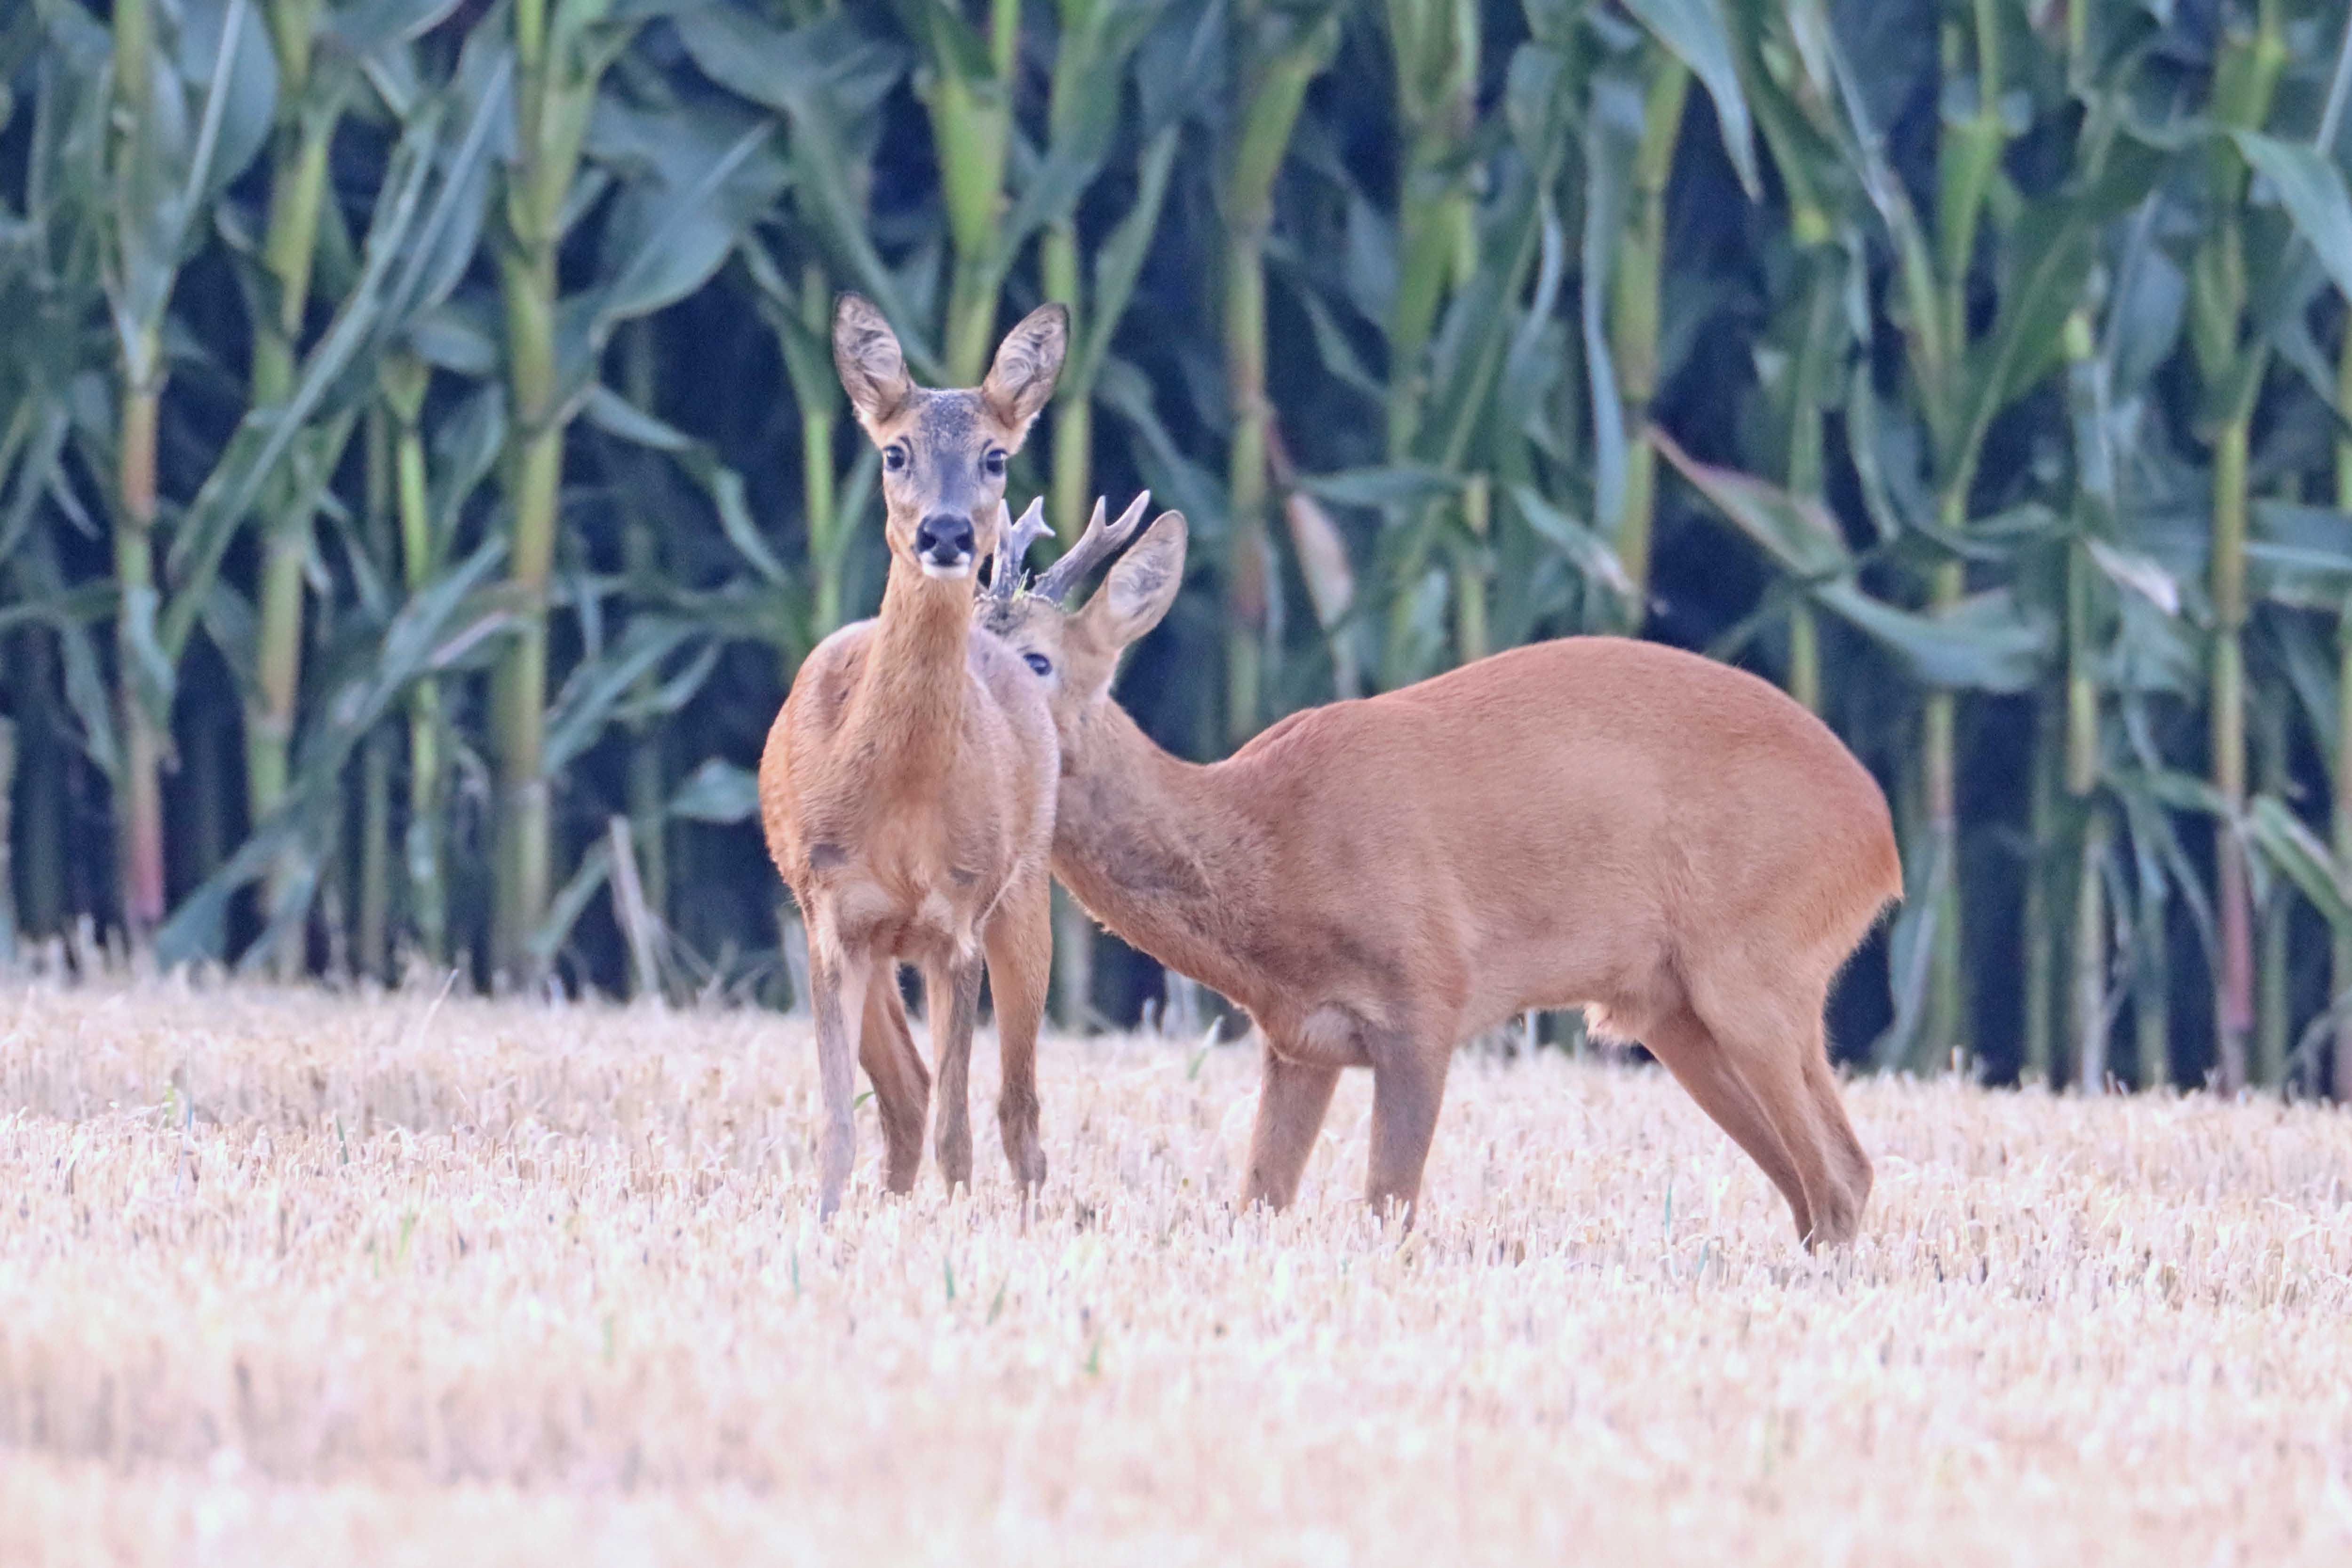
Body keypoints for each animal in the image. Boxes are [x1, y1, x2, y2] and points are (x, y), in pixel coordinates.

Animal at [762, 297, 1068, 1222]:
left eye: (996, 455)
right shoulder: (832, 912)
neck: (896, 800)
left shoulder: (956, 919)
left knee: (1017, 1113)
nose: (944, 531)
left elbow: (958, 1133)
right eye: (893, 452)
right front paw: (826, 1221)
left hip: (1026, 897)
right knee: (905, 1091)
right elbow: (838, 1121)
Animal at [983, 503, 1900, 1250]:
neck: (1269, 845)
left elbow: (1390, 1206)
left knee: (1842, 1173)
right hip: (1677, 1011)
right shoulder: (1297, 1038)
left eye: (1038, 660)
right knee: (1814, 1186)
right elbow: (1259, 1200)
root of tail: (1881, 840)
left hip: (1757, 965)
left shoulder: (1426, 997)